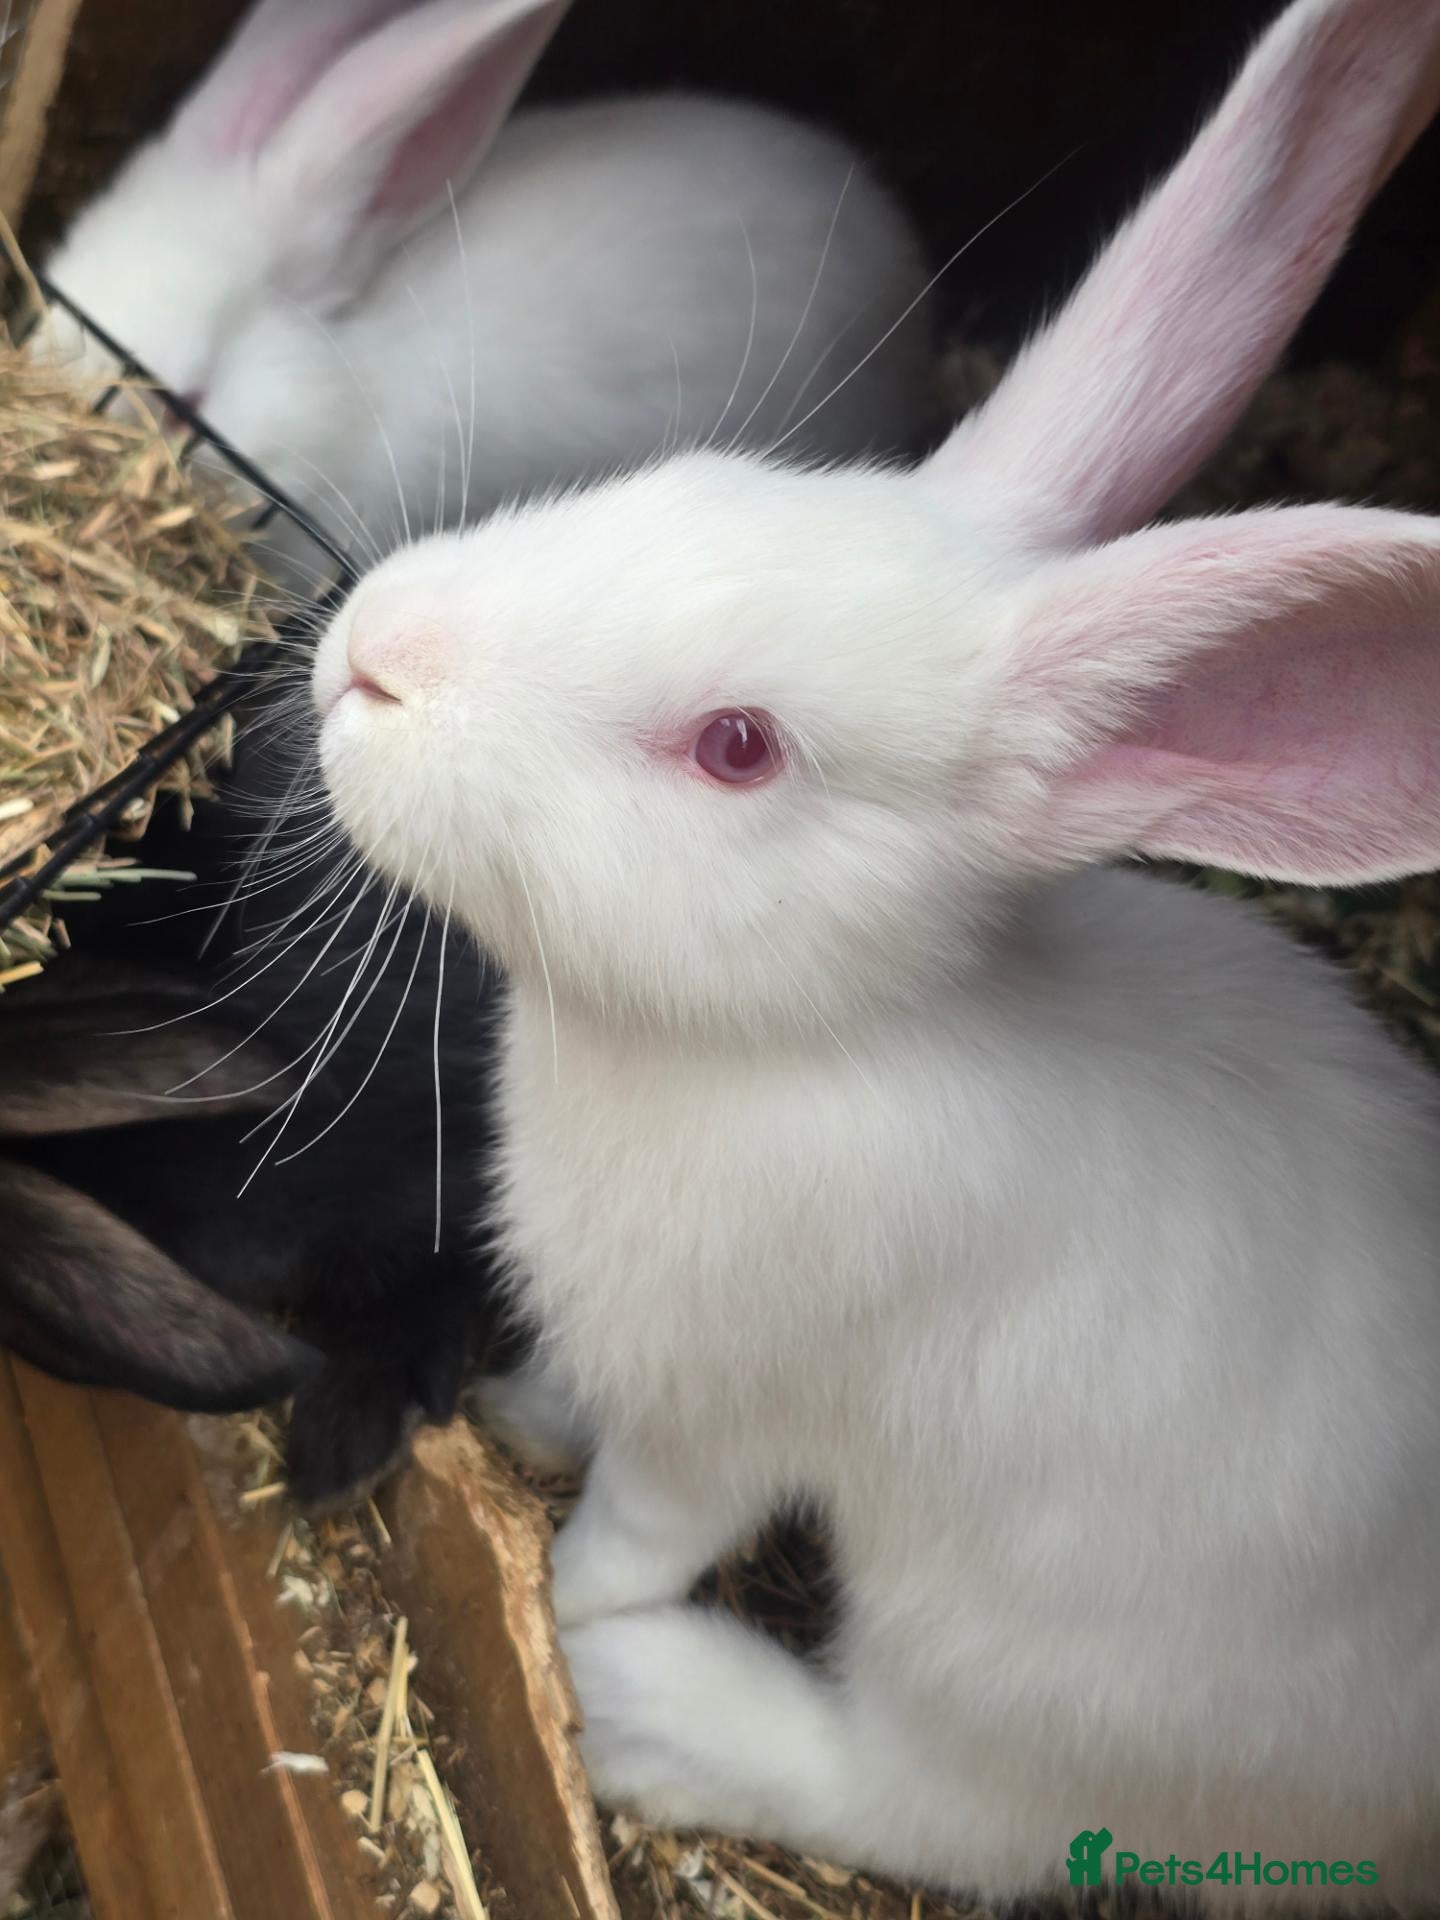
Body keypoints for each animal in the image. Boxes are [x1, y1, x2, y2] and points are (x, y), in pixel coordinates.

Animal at [308, 0, 1440, 1898]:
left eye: (738, 748)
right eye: (685, 483)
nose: (368, 658)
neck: (785, 1038)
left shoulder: (725, 1406)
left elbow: (640, 1523)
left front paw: (569, 1605)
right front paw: (525, 1417)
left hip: (1031, 1669)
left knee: (941, 1803)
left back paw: (654, 1712)